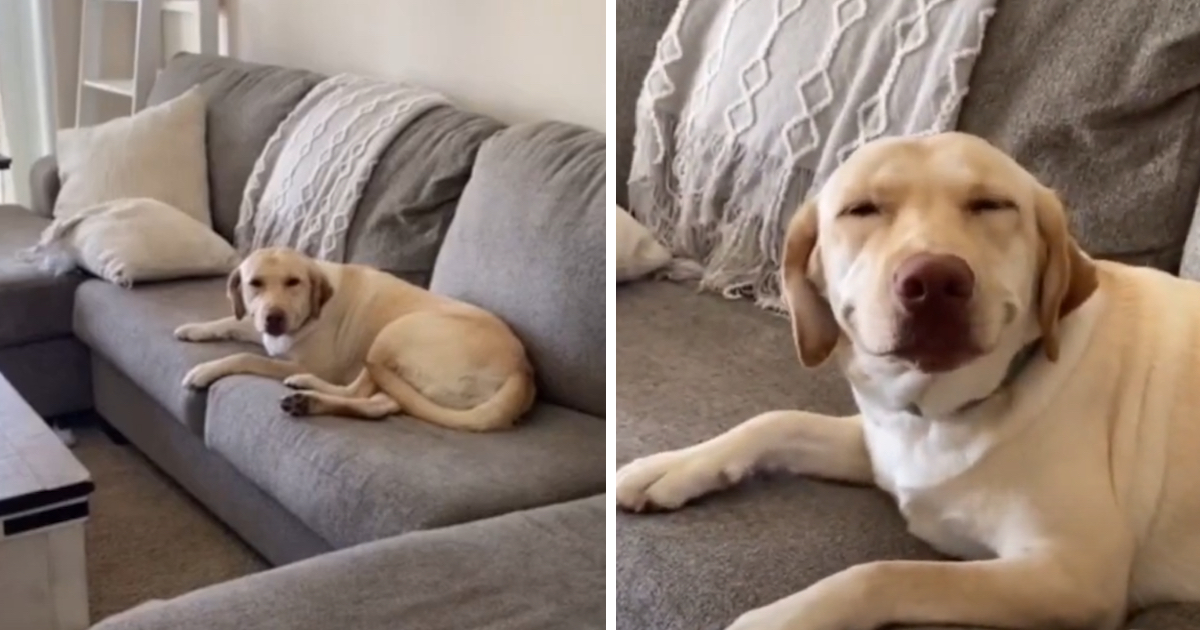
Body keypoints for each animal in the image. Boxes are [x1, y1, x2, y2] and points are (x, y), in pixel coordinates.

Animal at [174, 247, 535, 432]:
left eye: (294, 282)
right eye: (255, 284)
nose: (274, 317)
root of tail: (524, 371)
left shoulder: (314, 362)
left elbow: (245, 357)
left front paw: (205, 370)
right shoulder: (262, 329)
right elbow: (230, 323)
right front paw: (194, 328)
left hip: (393, 333)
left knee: (357, 389)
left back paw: (305, 385)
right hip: (408, 381)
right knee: (377, 405)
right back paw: (308, 402)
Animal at [614, 131, 1200, 624]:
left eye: (992, 205)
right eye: (862, 209)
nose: (934, 279)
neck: (937, 414)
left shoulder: (1076, 573)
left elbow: (884, 573)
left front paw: (782, 618)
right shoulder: (881, 443)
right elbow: (777, 420)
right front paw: (672, 467)